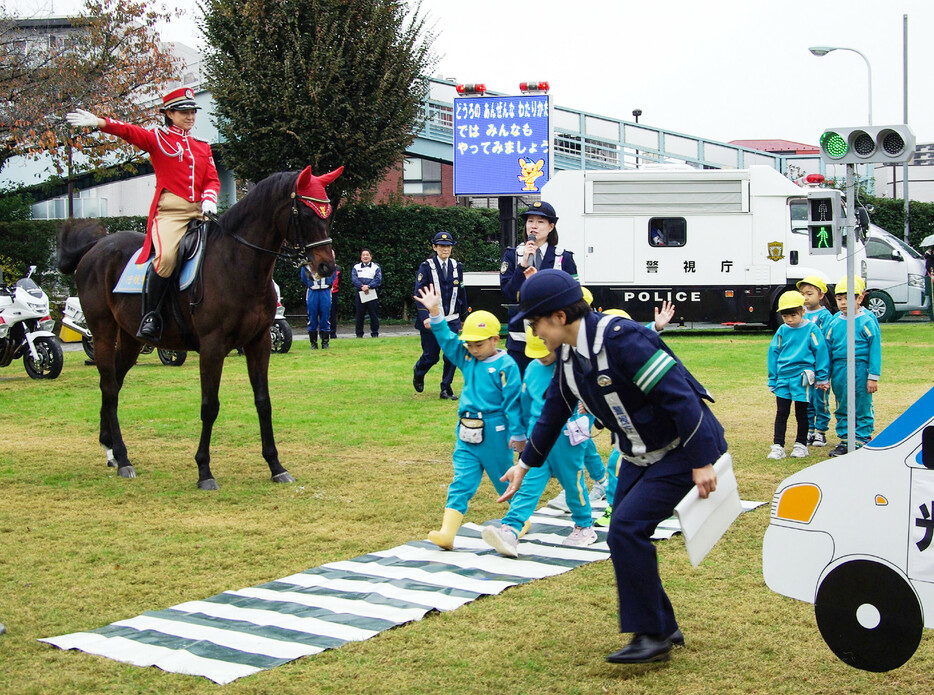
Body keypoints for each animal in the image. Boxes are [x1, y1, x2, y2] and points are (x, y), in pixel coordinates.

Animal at [55, 167, 340, 490]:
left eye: (328, 214)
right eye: (304, 213)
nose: (326, 267)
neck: (238, 263)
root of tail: (95, 248)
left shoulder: (259, 343)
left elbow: (263, 402)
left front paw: (275, 465)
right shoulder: (212, 348)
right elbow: (209, 405)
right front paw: (204, 470)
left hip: (130, 339)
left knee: (113, 383)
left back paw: (110, 449)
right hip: (103, 332)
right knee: (109, 385)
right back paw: (123, 458)